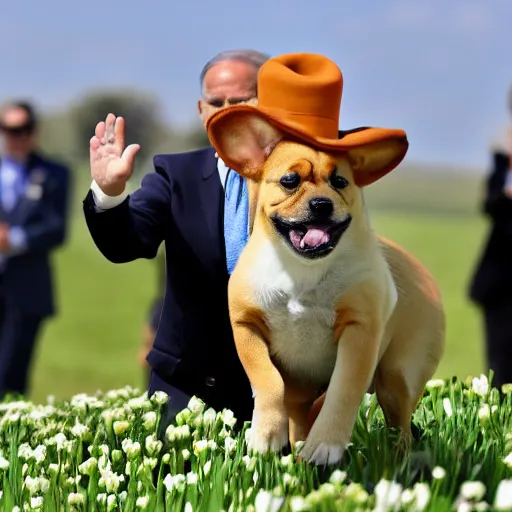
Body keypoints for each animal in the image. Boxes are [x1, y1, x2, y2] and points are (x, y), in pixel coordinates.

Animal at [206, 54, 446, 466]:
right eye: (289, 181)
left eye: (340, 182)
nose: (321, 203)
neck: (302, 271)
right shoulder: (246, 325)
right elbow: (266, 379)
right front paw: (265, 436)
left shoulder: (360, 331)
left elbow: (343, 390)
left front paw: (325, 447)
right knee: (299, 410)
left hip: (399, 374)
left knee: (400, 422)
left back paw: (396, 459)